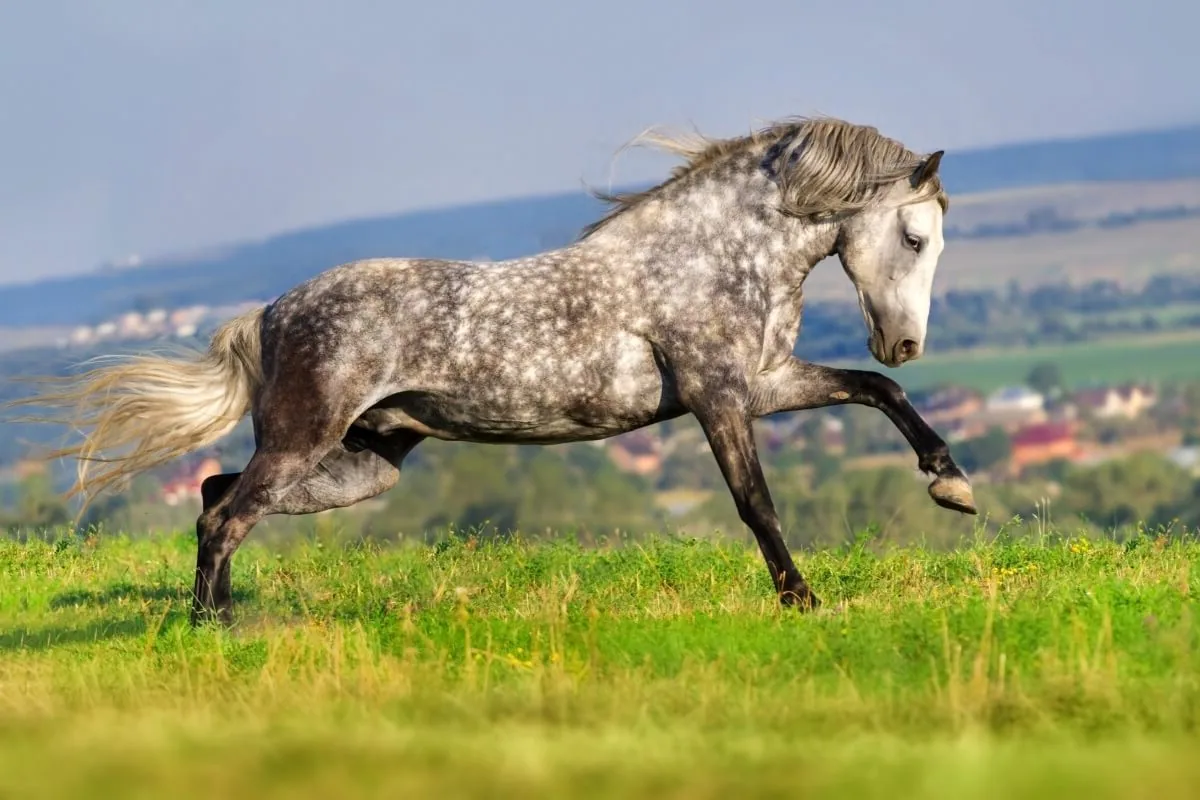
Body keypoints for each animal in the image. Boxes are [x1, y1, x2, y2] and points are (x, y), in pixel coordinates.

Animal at [12, 115, 976, 626]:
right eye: (914, 236)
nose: (905, 341)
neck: (708, 255)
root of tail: (271, 315)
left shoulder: (764, 383)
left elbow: (878, 394)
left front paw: (951, 484)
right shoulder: (718, 398)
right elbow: (756, 502)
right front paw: (801, 600)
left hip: (360, 466)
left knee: (216, 495)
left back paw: (220, 613)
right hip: (304, 443)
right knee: (224, 515)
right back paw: (214, 628)